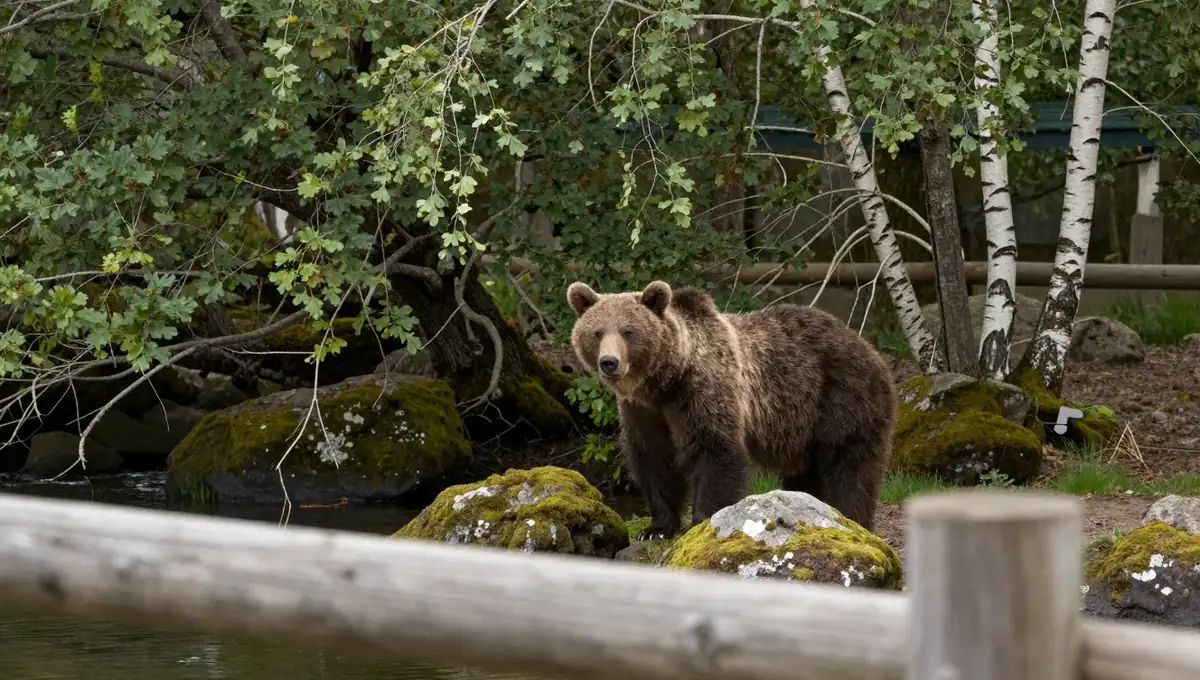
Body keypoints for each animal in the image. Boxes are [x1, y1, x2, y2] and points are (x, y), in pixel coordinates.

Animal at [566, 279, 897, 540]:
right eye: (597, 332)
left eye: (628, 331)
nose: (609, 362)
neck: (664, 382)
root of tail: (868, 346)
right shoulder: (644, 412)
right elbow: (654, 459)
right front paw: (656, 528)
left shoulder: (703, 391)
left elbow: (715, 451)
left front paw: (700, 522)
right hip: (803, 427)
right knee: (807, 473)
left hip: (842, 397)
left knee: (850, 465)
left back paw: (853, 518)